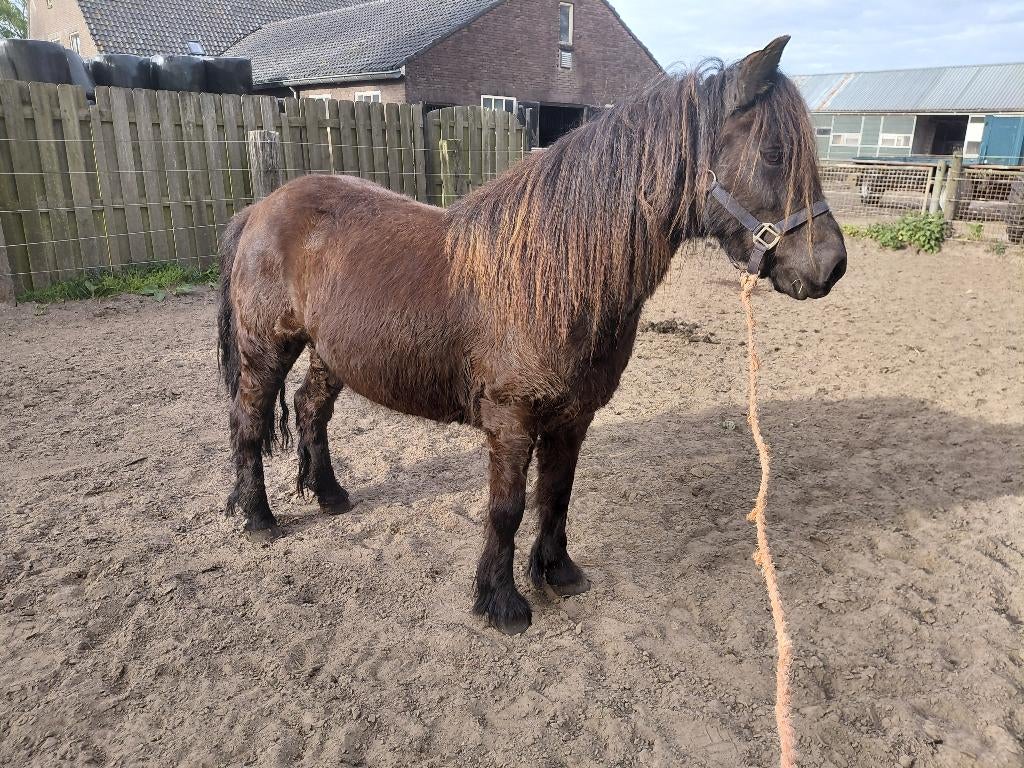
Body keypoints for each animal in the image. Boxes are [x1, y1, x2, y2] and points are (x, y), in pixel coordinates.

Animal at [217, 35, 847, 634]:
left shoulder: (573, 416)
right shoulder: (511, 421)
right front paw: (500, 602)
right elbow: (507, 508)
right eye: (773, 153)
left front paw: (557, 573)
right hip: (267, 350)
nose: (831, 267)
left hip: (332, 354)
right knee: (249, 419)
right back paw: (258, 518)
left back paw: (330, 496)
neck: (552, 278)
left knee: (310, 408)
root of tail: (260, 209)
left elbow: (557, 496)